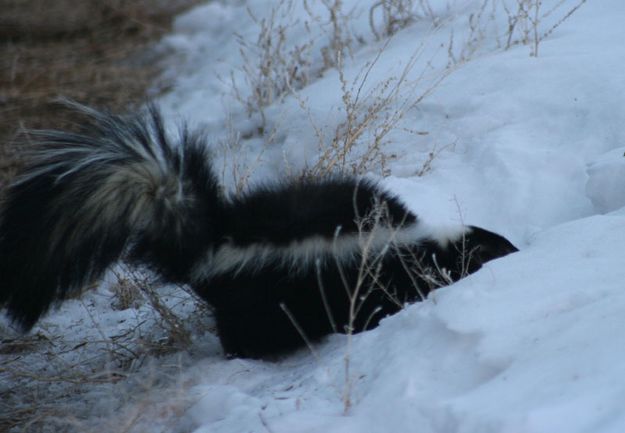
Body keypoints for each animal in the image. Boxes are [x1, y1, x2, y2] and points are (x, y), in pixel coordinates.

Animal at [0, 102, 516, 358]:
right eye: (492, 248)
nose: (518, 249)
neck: (418, 242)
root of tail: (211, 238)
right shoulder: (371, 275)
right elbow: (376, 307)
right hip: (256, 296)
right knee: (243, 329)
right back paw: (246, 354)